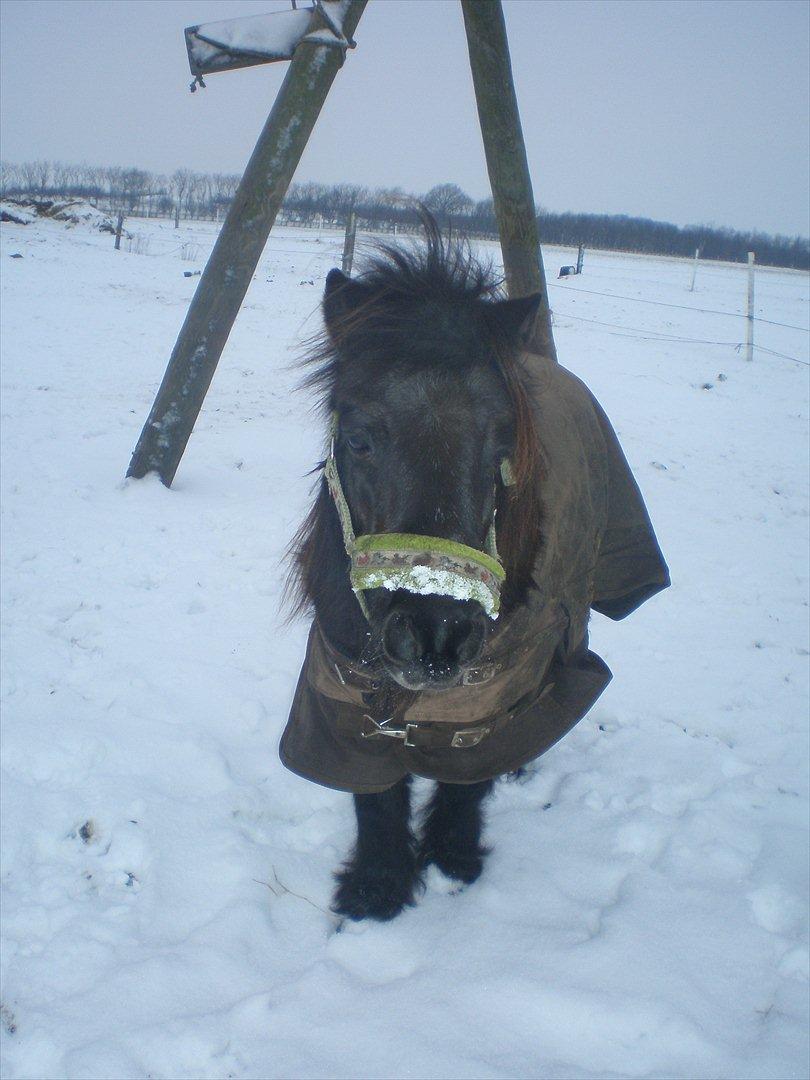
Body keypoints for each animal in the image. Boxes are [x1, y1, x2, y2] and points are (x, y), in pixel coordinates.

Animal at [282, 221, 669, 921]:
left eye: (501, 447)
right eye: (358, 437)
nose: (435, 634)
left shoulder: (495, 692)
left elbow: (469, 777)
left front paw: (453, 854)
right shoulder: (341, 695)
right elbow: (374, 796)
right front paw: (377, 886)